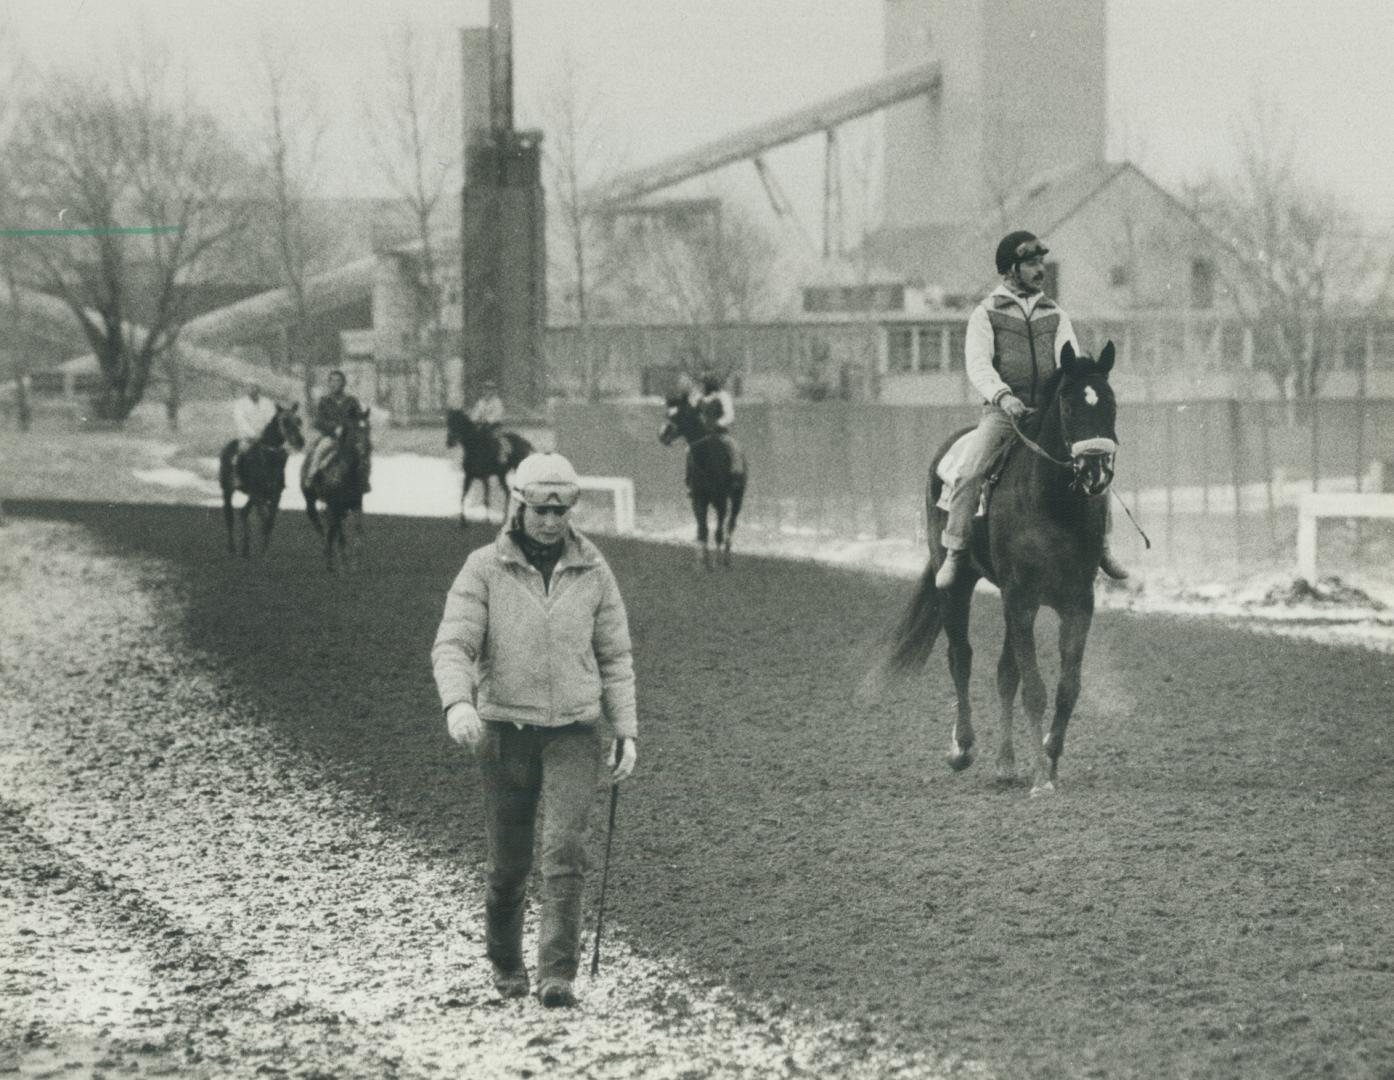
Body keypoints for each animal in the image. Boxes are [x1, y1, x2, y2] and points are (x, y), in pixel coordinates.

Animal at [217, 404, 305, 557]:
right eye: (285, 422)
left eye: (299, 421)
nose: (300, 441)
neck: (269, 461)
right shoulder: (258, 495)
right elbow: (265, 521)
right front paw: (262, 553)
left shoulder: (275, 496)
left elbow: (270, 523)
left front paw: (264, 553)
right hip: (228, 490)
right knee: (229, 517)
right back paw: (232, 550)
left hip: (251, 496)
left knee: (244, 512)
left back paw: (246, 550)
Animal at [302, 406, 373, 574]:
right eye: (354, 429)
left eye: (368, 428)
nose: (366, 450)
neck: (347, 473)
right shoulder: (334, 505)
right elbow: (340, 536)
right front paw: (345, 564)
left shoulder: (356, 503)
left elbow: (358, 529)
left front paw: (356, 564)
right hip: (310, 503)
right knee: (321, 528)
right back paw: (328, 558)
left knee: (330, 529)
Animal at [657, 392, 747, 571]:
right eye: (667, 414)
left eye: (681, 414)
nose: (663, 434)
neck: (707, 461)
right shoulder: (698, 499)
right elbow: (702, 530)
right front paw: (702, 563)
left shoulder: (721, 502)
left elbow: (718, 532)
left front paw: (717, 563)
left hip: (737, 498)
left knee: (730, 524)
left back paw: (726, 559)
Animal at [886, 342, 1126, 797]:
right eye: (1069, 405)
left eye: (1111, 403)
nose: (1096, 470)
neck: (1050, 504)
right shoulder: (1022, 600)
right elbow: (1034, 689)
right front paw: (1042, 779)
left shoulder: (1076, 603)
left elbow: (1066, 688)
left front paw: (1048, 757)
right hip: (959, 585)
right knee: (960, 656)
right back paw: (962, 748)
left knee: (1003, 672)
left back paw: (1005, 763)